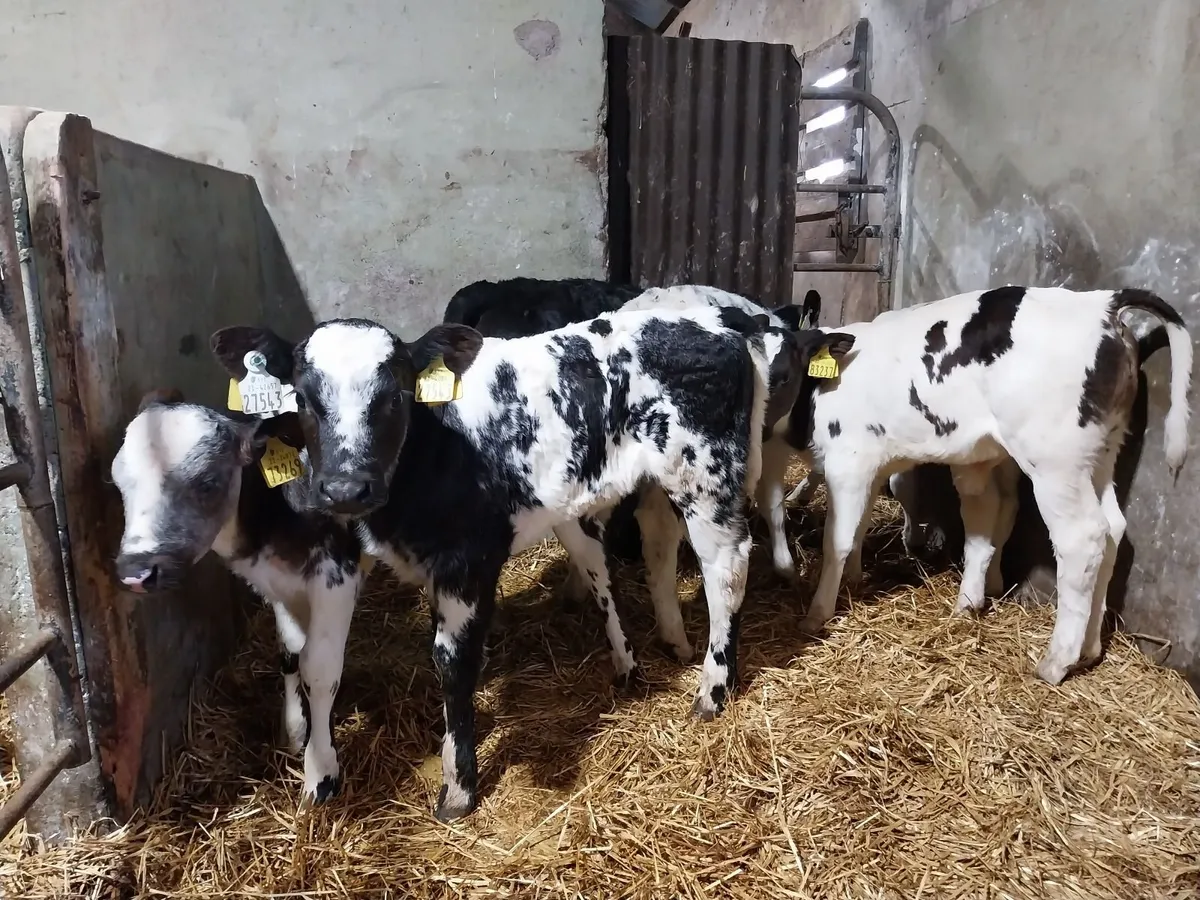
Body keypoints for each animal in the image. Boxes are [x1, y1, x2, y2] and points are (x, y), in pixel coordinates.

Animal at [110, 389, 365, 805]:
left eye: (208, 483)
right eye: (119, 483)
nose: (136, 571)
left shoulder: (337, 572)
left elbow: (320, 669)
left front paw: (320, 771)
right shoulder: (275, 580)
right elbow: (290, 651)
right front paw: (295, 730)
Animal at [210, 306, 852, 821]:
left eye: (395, 394)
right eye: (303, 396)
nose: (345, 487)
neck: (429, 452)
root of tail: (723, 324)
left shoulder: (468, 558)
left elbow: (451, 666)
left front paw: (458, 789)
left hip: (708, 476)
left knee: (726, 572)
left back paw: (713, 690)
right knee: (659, 549)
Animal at [784, 286, 1192, 686]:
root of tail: (1103, 302)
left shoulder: (848, 461)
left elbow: (837, 539)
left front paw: (817, 613)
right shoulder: (873, 464)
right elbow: (860, 525)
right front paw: (853, 580)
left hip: (1054, 461)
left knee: (1083, 539)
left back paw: (1056, 663)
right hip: (1100, 453)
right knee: (1113, 529)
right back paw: (1089, 648)